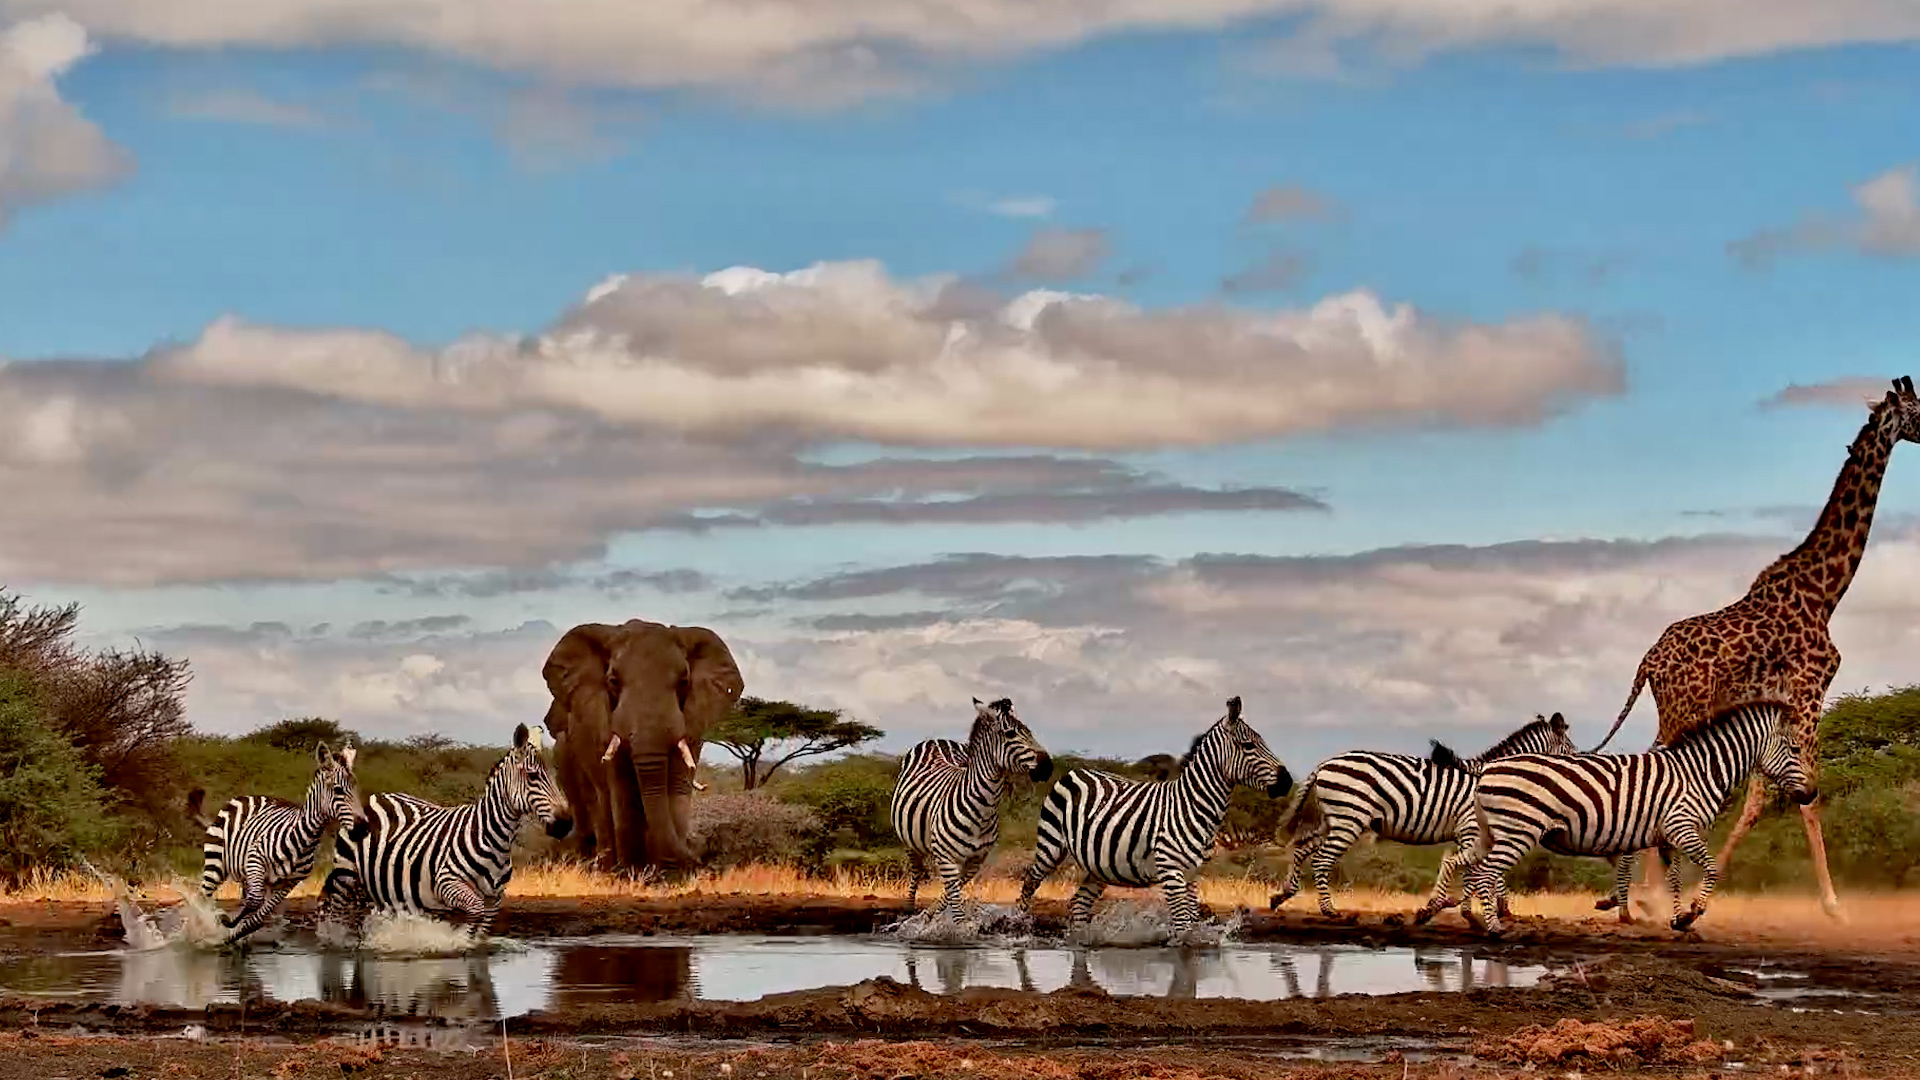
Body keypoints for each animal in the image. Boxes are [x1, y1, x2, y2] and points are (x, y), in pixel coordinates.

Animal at [541, 619, 744, 871]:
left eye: (684, 682)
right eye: (613, 681)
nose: (699, 858)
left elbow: (677, 783)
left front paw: (670, 872)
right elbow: (622, 784)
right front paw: (633, 872)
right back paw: (606, 867)